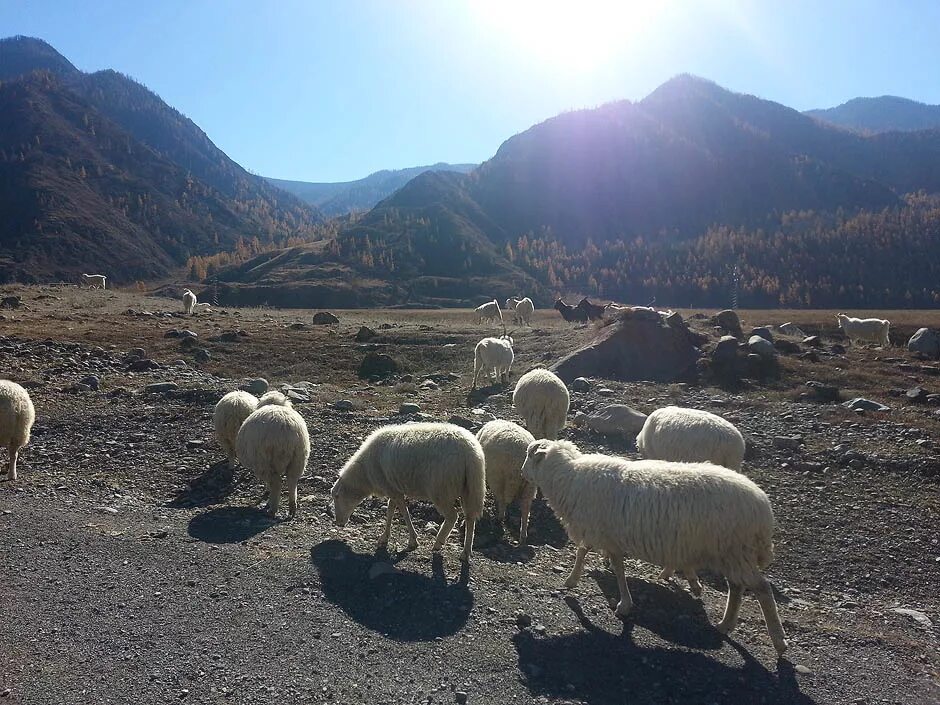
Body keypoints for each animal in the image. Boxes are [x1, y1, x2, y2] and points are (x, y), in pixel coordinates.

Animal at [332, 424, 484, 560]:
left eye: (337, 497)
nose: (338, 522)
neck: (365, 474)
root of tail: (470, 453)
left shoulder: (392, 489)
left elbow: (403, 512)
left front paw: (412, 541)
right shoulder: (392, 488)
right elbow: (390, 511)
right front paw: (385, 537)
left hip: (441, 490)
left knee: (453, 516)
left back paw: (438, 543)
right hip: (469, 489)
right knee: (470, 518)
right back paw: (465, 552)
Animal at [520, 440, 784, 656]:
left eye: (530, 456)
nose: (522, 473)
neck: (569, 478)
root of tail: (764, 507)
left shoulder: (602, 533)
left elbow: (609, 565)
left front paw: (622, 604)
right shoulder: (604, 534)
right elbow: (590, 554)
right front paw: (574, 580)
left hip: (737, 550)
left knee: (761, 589)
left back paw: (778, 641)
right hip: (731, 553)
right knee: (737, 587)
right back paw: (725, 624)